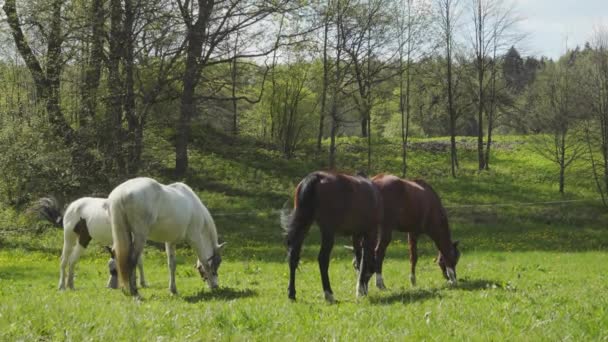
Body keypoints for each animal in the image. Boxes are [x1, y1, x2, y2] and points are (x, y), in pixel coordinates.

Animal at [280, 171, 380, 302]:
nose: (365, 291)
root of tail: (316, 177)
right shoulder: (369, 233)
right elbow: (363, 261)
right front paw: (360, 290)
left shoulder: (356, 235)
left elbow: (359, 259)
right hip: (328, 232)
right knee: (322, 259)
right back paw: (329, 294)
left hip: (303, 224)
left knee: (293, 256)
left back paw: (291, 294)